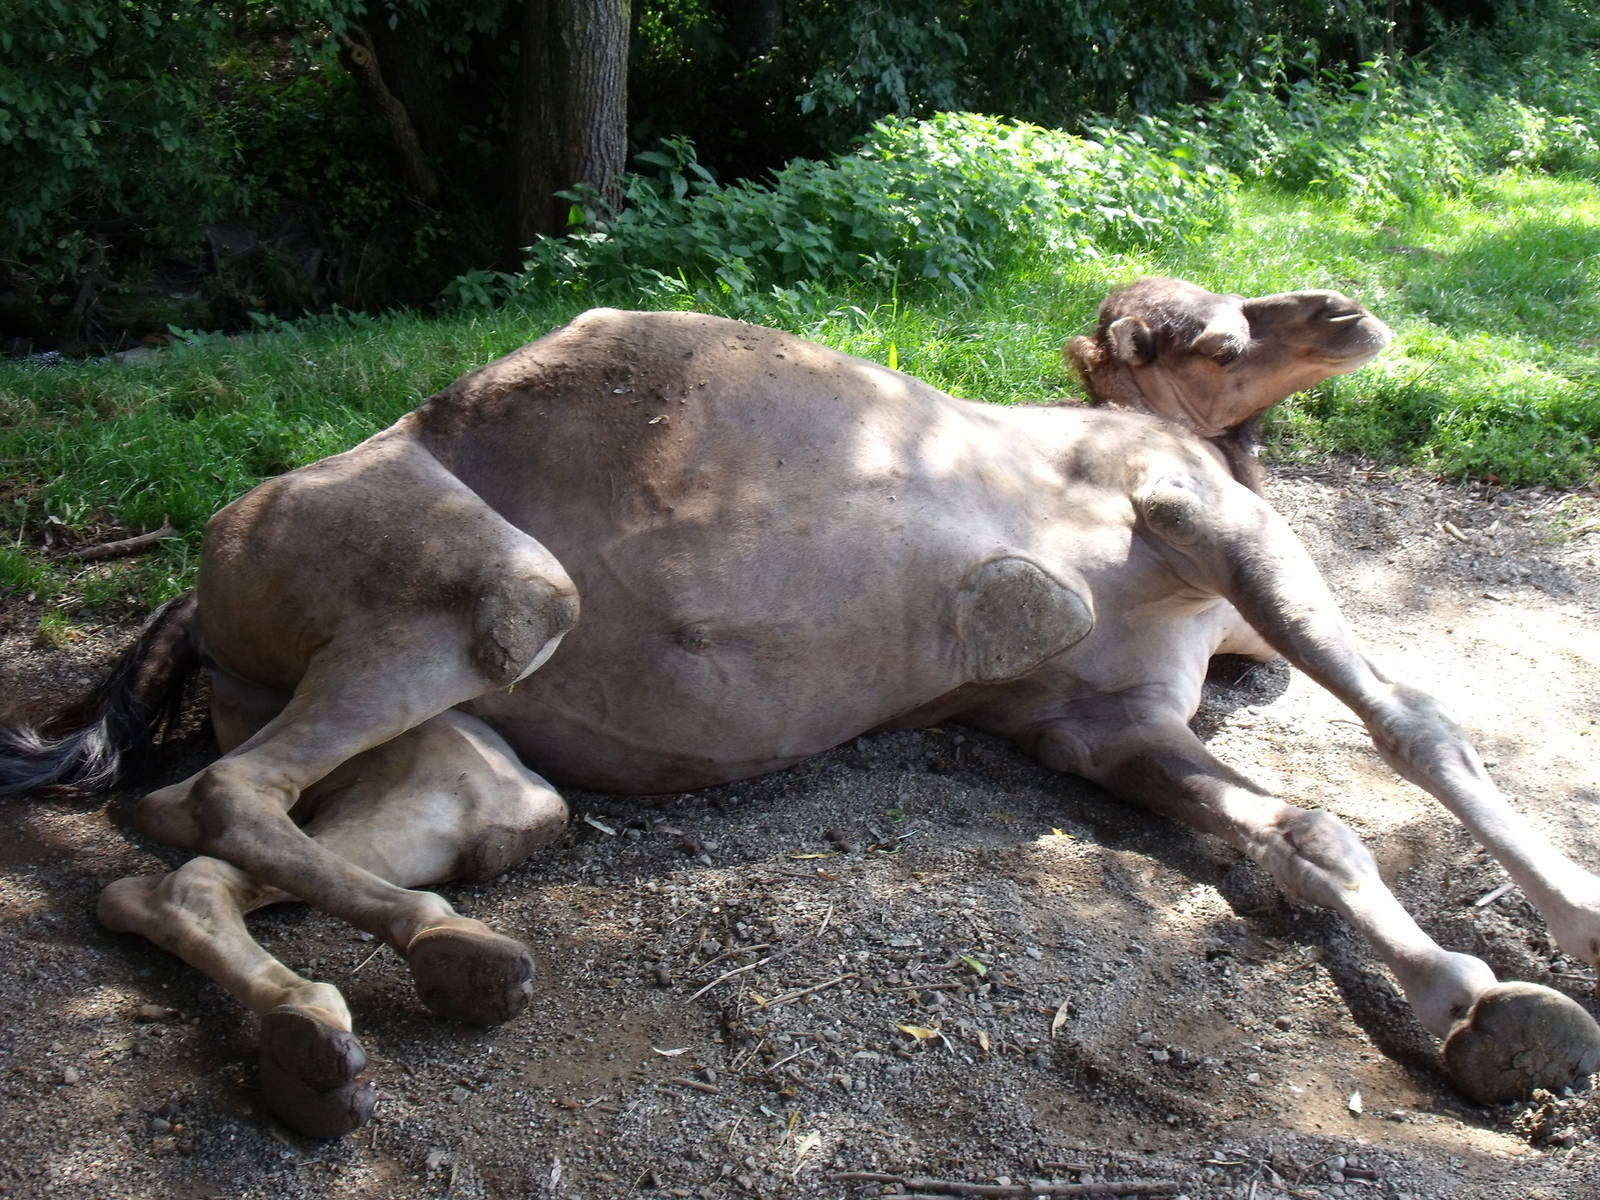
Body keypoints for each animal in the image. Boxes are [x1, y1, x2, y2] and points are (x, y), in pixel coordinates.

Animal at [4, 278, 1599, 1138]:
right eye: (1208, 336)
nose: (1342, 310)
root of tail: (203, 568)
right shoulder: (1197, 515)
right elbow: (1411, 724)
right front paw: (1555, 952)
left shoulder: (1099, 723)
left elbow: (1308, 830)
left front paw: (1478, 1011)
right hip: (492, 593)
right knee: (218, 795)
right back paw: (448, 968)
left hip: (460, 758)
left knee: (195, 855)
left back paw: (332, 1023)